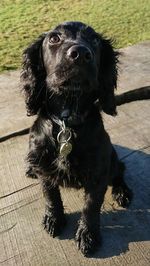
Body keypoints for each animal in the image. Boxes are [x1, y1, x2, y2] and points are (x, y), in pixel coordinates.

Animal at [20, 21, 132, 256]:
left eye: (95, 40)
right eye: (54, 39)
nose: (80, 53)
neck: (67, 120)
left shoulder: (98, 173)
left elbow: (91, 206)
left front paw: (88, 235)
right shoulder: (44, 166)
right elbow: (50, 195)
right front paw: (54, 219)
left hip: (111, 157)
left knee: (120, 170)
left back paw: (122, 192)